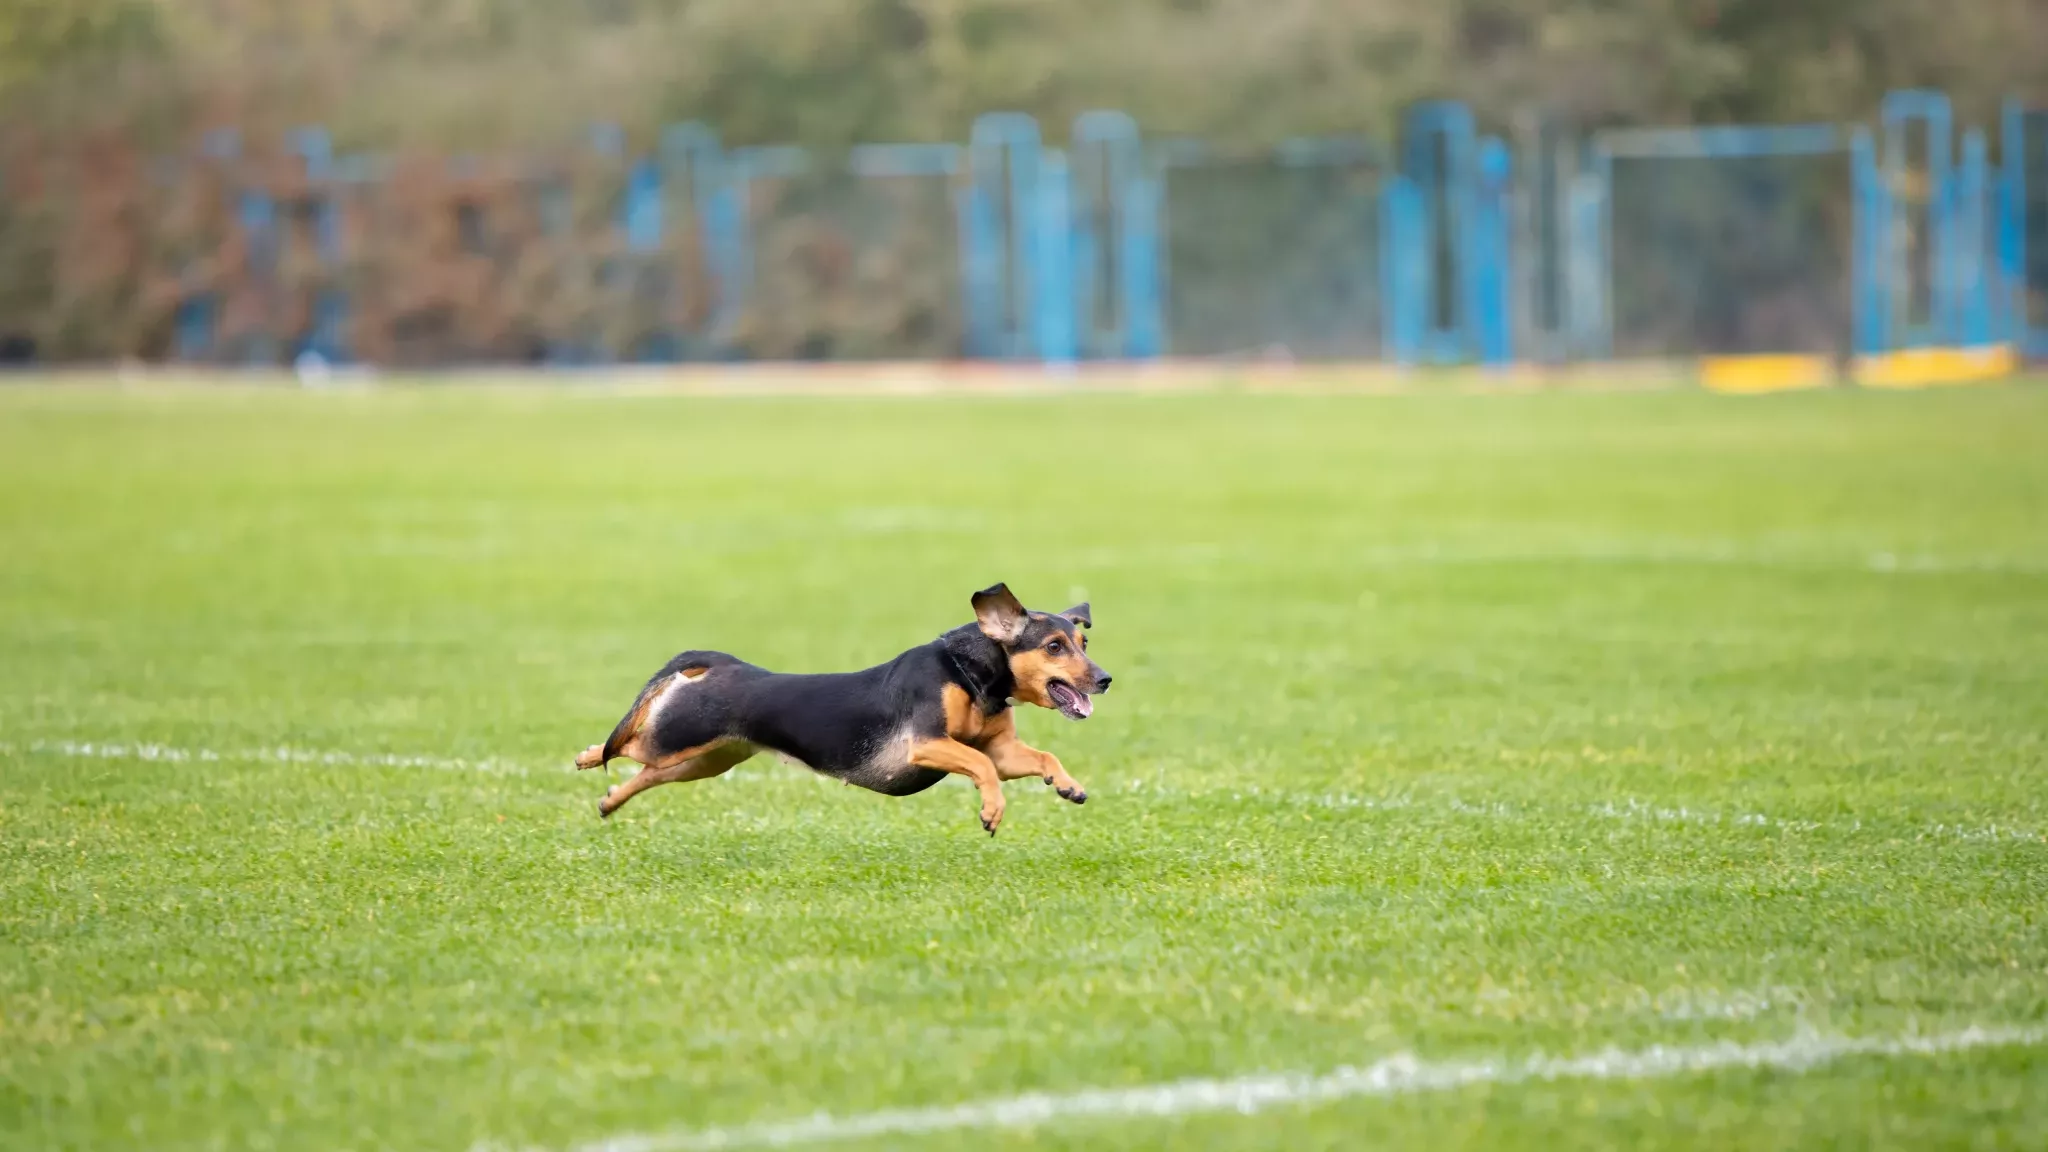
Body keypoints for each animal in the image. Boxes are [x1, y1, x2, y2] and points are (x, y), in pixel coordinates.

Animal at [577, 582, 1114, 832]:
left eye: (1083, 642)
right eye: (1054, 647)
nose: (1105, 679)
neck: (970, 674)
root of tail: (724, 664)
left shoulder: (1002, 752)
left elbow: (1040, 757)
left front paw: (1067, 785)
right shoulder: (926, 744)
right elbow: (979, 766)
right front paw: (991, 810)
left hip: (705, 760)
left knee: (643, 775)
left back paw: (608, 801)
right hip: (679, 739)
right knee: (626, 748)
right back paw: (586, 756)